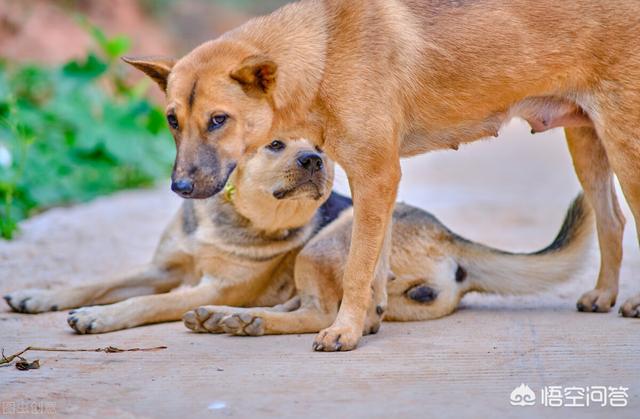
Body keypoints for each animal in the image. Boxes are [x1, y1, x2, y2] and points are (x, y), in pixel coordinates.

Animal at [122, 0, 640, 352]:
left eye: (218, 119)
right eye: (172, 120)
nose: (180, 189)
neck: (324, 54)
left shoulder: (376, 176)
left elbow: (356, 269)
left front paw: (346, 330)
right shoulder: (377, 183)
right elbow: (374, 268)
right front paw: (365, 323)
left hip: (624, 145)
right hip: (586, 141)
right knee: (611, 219)